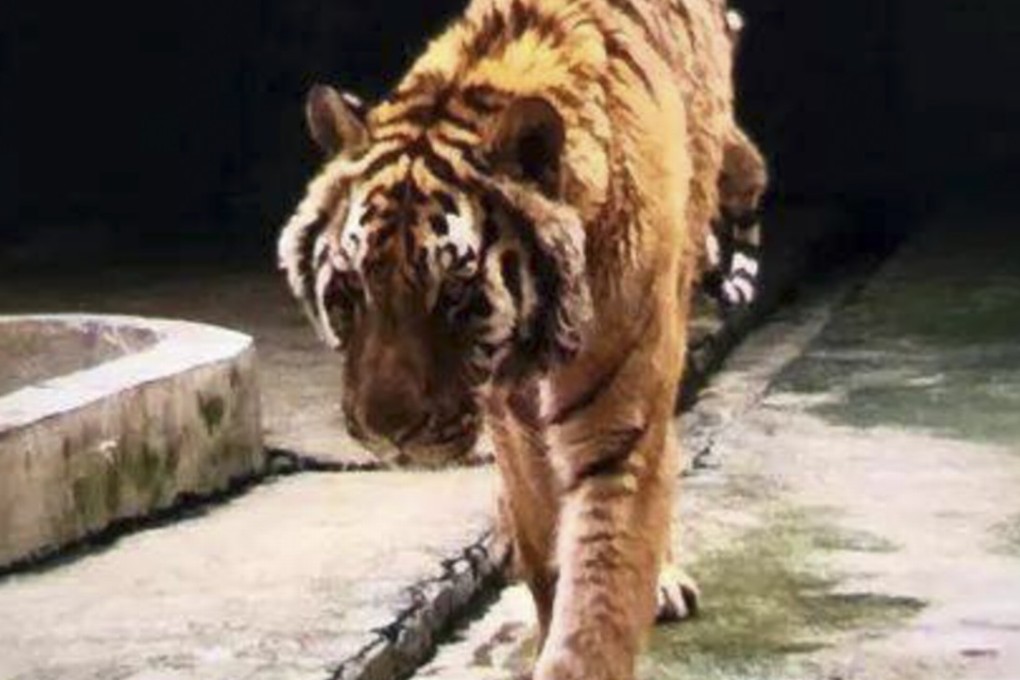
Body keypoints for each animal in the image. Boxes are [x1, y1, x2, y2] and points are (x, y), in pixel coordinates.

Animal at [278, 1, 757, 678]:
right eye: (350, 290)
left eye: (454, 295)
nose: (386, 433)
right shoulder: (514, 421)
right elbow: (546, 550)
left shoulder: (618, 433)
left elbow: (599, 596)